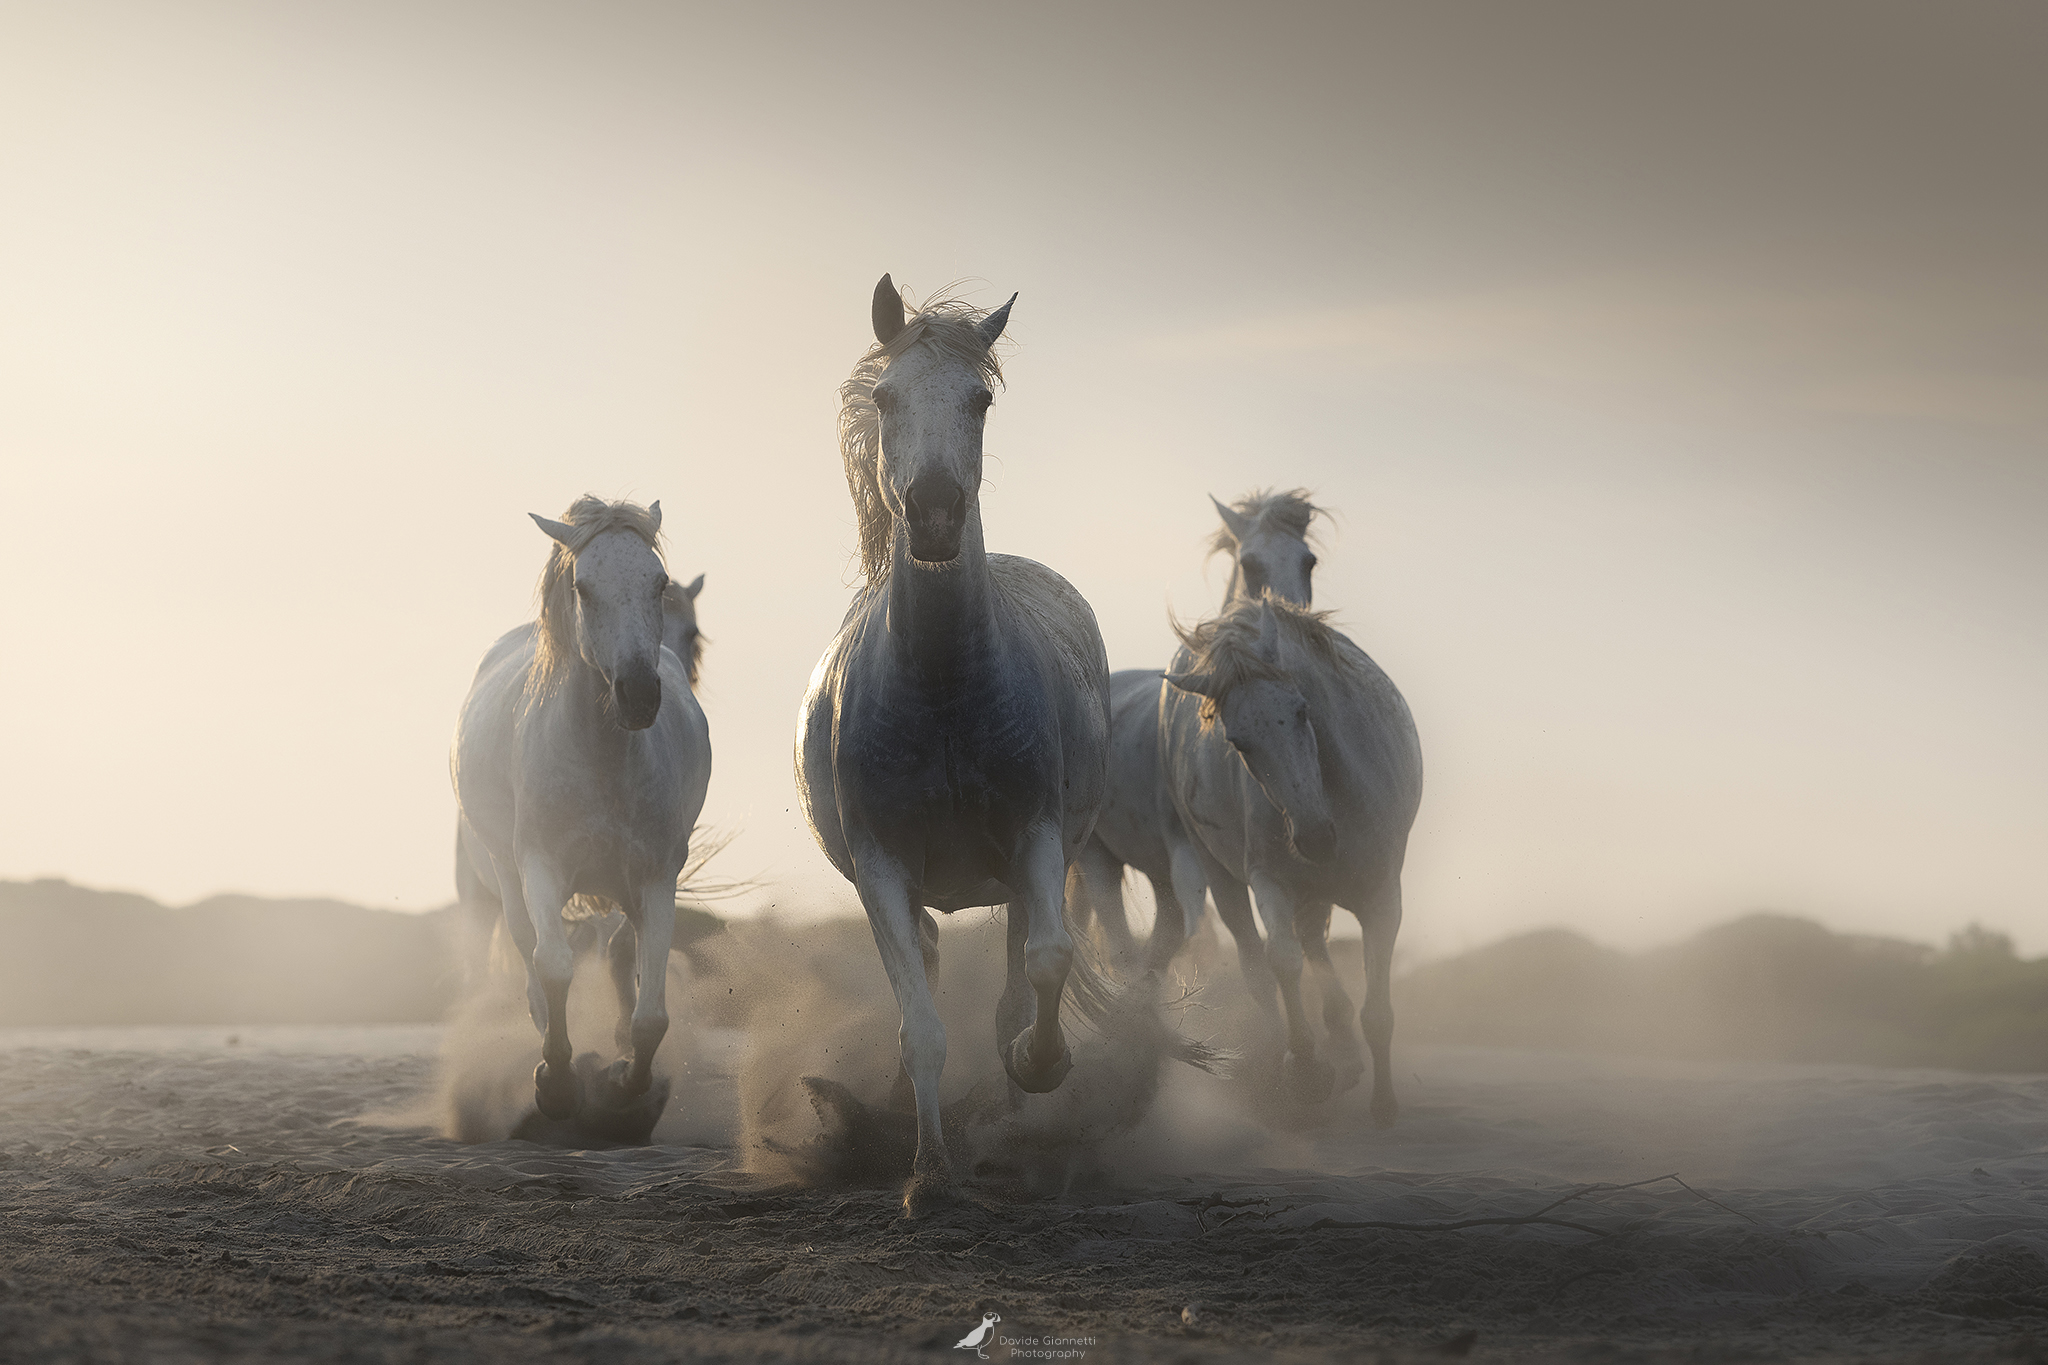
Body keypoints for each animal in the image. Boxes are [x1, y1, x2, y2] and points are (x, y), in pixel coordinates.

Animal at [452, 497, 712, 1133]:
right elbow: (554, 965)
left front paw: (624, 1088)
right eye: (583, 587)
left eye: (657, 582)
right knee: (524, 954)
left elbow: (650, 1013)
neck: (603, 758)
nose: (639, 693)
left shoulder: (655, 878)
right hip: (499, 878)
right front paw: (558, 1085)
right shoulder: (541, 868)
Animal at [796, 275, 1113, 1215]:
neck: (940, 692)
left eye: (979, 399)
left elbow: (1045, 962)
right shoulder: (881, 866)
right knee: (932, 969)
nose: (935, 513)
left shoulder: (1036, 839)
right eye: (886, 397)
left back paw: (1014, 1116)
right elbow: (923, 1029)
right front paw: (928, 1175)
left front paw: (1039, 1067)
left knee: (1017, 973)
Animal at [1068, 491, 1320, 989]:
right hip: (1099, 860)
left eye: (1309, 561)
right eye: (1250, 563)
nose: (1292, 622)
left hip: (1151, 874)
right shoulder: (1195, 864)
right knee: (1125, 945)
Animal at [1160, 593, 1421, 1122]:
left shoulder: (1384, 896)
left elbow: (1378, 1009)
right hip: (1223, 876)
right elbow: (1282, 960)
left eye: (1302, 711)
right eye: (1238, 741)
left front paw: (1384, 1102)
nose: (1316, 836)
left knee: (1316, 945)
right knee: (1259, 965)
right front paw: (1304, 1067)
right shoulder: (1270, 879)